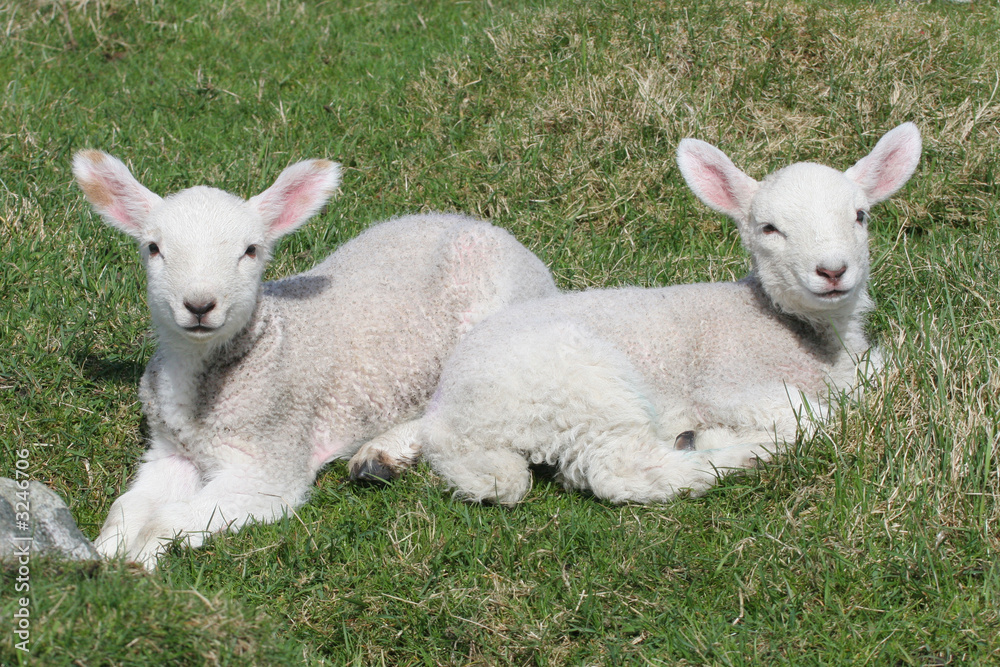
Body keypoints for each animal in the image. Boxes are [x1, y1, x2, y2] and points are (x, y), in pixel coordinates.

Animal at [73, 151, 558, 566]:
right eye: (153, 248)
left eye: (251, 250)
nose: (199, 305)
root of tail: (511, 243)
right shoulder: (169, 451)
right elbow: (126, 506)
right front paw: (102, 552)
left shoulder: (271, 460)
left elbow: (170, 517)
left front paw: (139, 560)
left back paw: (382, 453)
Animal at [408, 123, 921, 505]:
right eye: (769, 228)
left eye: (861, 216)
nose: (832, 270)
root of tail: (444, 420)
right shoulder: (728, 382)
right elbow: (819, 418)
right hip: (580, 386)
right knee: (620, 471)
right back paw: (736, 453)